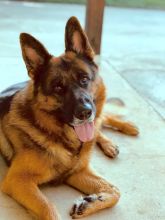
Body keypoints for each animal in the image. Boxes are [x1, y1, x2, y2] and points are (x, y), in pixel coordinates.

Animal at [0, 16, 139, 219]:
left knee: (103, 119)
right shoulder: (18, 181)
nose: (84, 113)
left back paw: (124, 130)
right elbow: (48, 208)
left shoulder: (78, 171)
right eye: (58, 87)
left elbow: (115, 190)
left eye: (84, 79)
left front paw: (90, 202)